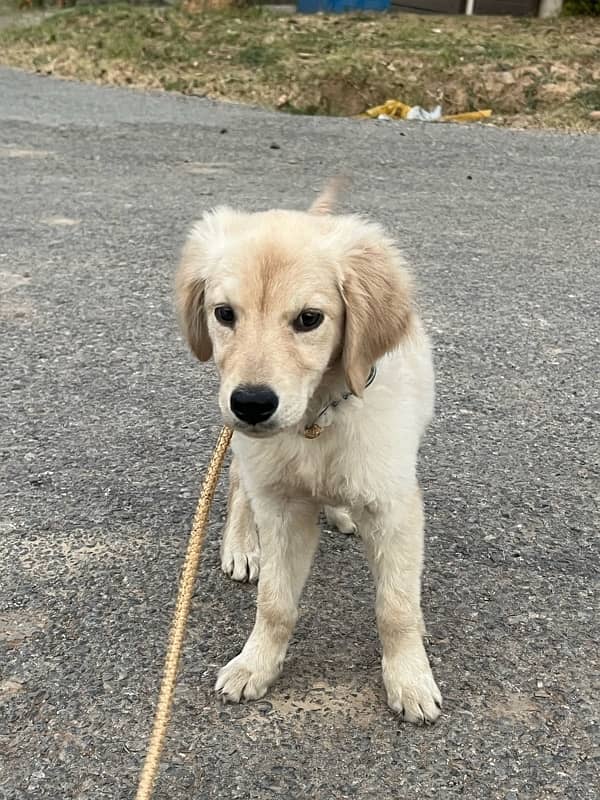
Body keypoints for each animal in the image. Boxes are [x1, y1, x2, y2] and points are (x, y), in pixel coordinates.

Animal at [176, 188, 442, 724]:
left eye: (309, 319)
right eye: (224, 313)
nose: (251, 403)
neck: (318, 419)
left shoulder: (394, 507)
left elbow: (397, 606)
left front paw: (409, 678)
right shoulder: (282, 507)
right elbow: (275, 603)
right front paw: (255, 664)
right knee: (237, 483)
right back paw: (242, 545)